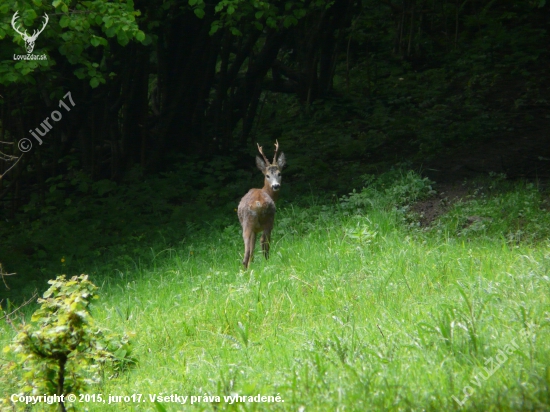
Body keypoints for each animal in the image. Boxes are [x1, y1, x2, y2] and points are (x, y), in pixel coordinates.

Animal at [238, 141, 286, 270]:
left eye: (279, 173)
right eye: (267, 175)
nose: (276, 186)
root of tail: (258, 204)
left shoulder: (254, 229)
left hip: (249, 223)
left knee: (249, 249)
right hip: (268, 219)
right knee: (263, 242)